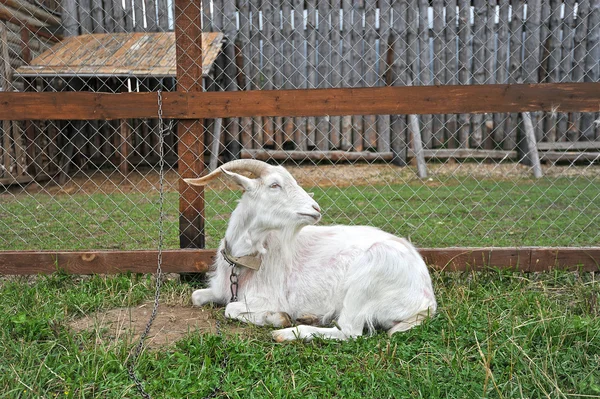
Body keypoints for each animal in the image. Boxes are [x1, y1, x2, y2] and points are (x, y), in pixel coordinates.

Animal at [186, 161, 436, 342]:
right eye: (274, 185)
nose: (315, 208)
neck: (244, 260)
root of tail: (427, 299)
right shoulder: (220, 289)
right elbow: (196, 296)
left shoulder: (269, 297)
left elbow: (230, 308)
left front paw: (278, 317)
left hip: (367, 282)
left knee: (349, 332)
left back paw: (287, 333)